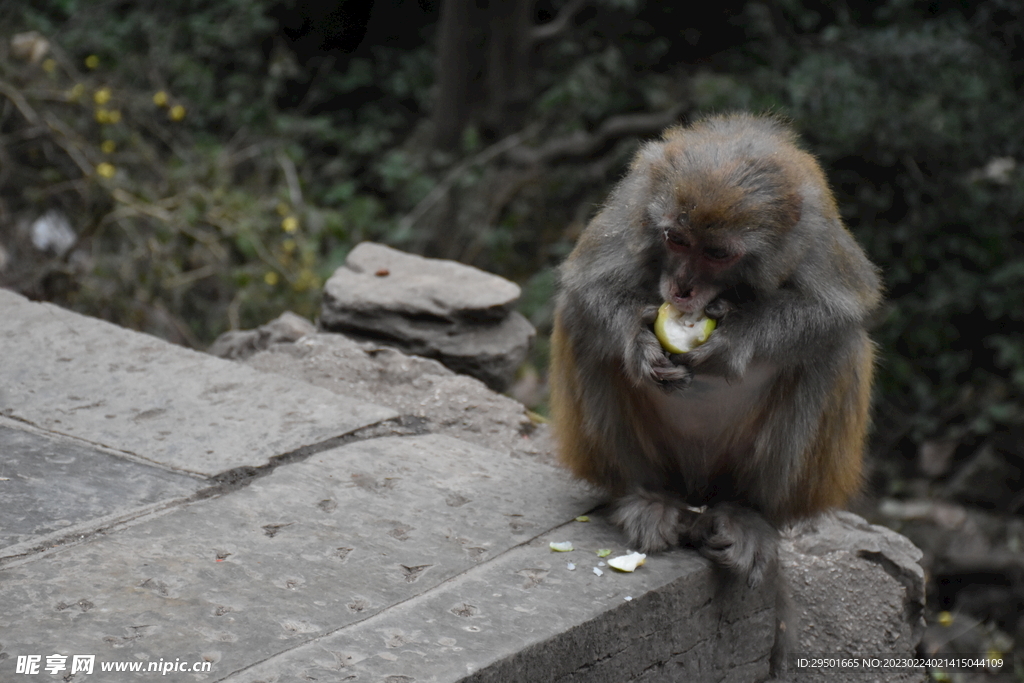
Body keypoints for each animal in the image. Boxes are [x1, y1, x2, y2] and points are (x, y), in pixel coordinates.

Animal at [552, 111, 880, 602]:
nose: (683, 288)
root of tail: (698, 489)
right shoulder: (635, 204)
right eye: (676, 239)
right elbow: (584, 284)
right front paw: (638, 344)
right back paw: (648, 497)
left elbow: (839, 311)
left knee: (836, 349)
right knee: (577, 320)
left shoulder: (817, 235)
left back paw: (747, 514)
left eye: (718, 253)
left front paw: (734, 340)